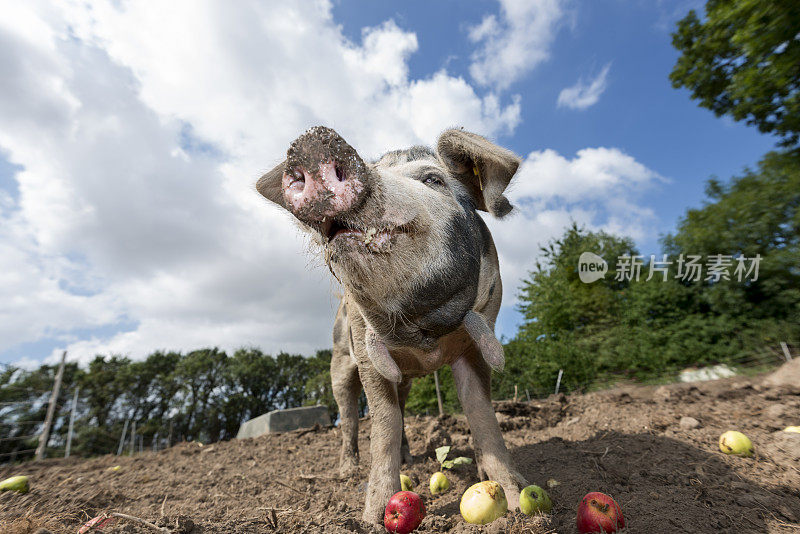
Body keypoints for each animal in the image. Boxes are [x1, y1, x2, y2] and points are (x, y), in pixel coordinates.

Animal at [256, 127, 528, 524]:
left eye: (433, 180)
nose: (313, 141)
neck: (425, 329)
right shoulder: (367, 355)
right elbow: (383, 425)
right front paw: (370, 519)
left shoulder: (480, 337)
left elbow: (481, 413)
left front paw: (514, 497)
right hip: (339, 362)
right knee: (349, 417)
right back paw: (347, 471)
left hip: (406, 379)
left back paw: (410, 459)